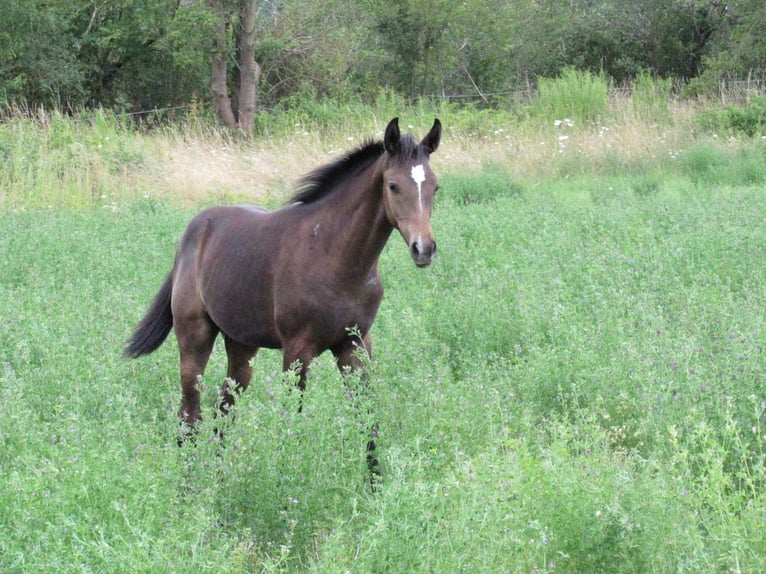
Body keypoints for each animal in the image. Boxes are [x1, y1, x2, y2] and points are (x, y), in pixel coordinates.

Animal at [124, 117, 441, 476]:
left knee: (223, 408)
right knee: (190, 415)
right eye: (393, 186)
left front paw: (377, 485)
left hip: (242, 347)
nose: (423, 249)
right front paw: (286, 479)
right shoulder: (297, 350)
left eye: (435, 187)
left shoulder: (355, 344)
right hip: (194, 337)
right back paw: (189, 481)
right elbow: (292, 422)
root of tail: (191, 233)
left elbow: (367, 419)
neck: (334, 256)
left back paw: (217, 477)